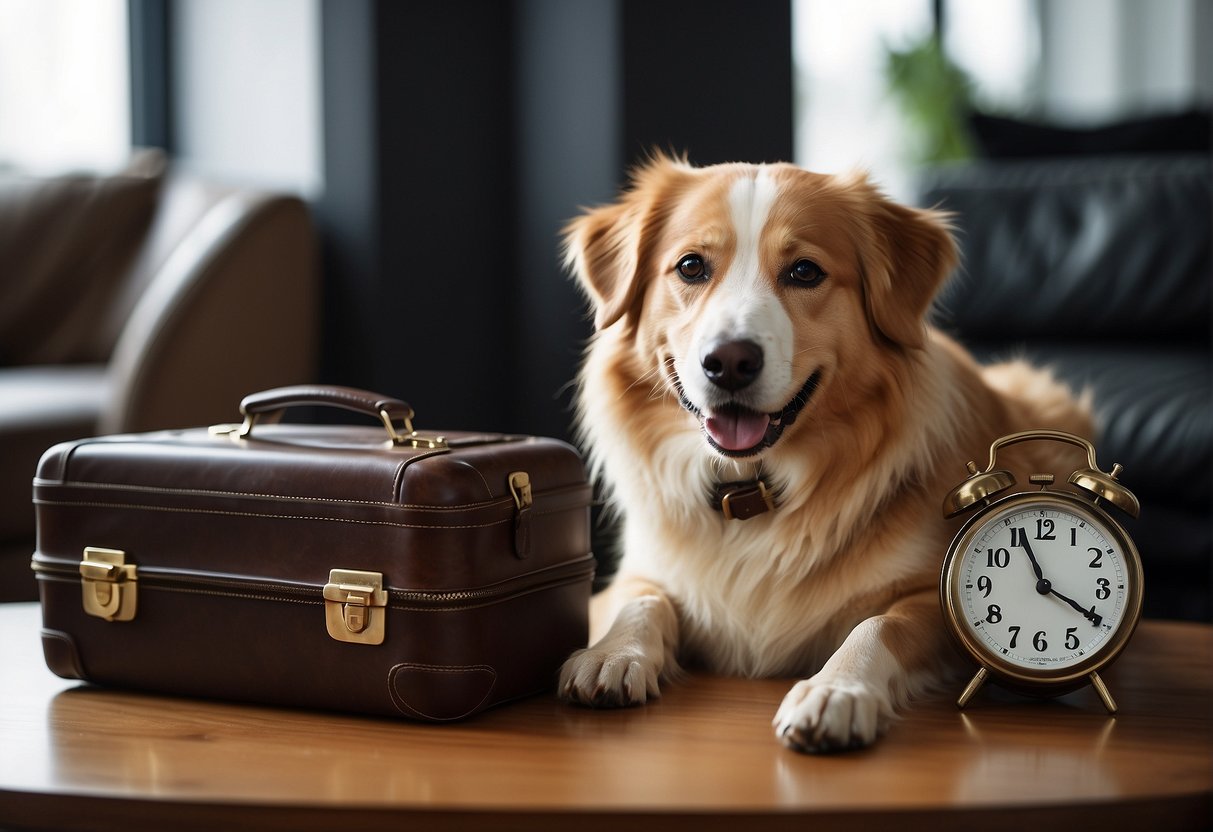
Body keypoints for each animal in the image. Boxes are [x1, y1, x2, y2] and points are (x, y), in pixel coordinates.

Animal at [555, 154, 1091, 756]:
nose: (730, 362)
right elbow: (640, 600)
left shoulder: (936, 599)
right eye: (691, 267)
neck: (755, 490)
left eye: (805, 272)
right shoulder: (640, 572)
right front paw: (613, 653)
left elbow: (879, 625)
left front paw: (837, 690)